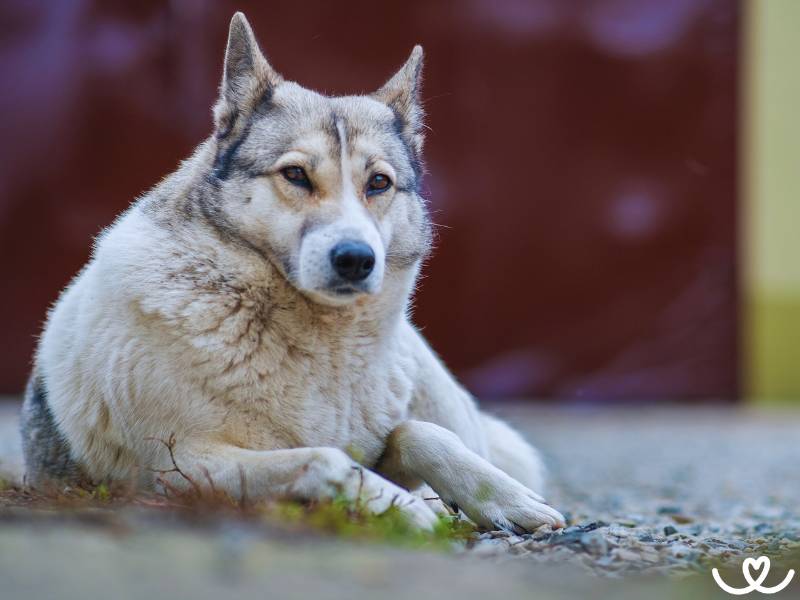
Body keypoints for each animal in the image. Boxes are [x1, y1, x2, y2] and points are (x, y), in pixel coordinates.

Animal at [20, 11, 568, 532]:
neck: (324, 344)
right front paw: (399, 505)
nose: (355, 259)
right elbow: (325, 459)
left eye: (379, 183)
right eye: (296, 175)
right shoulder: (185, 467)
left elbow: (417, 433)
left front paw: (504, 499)